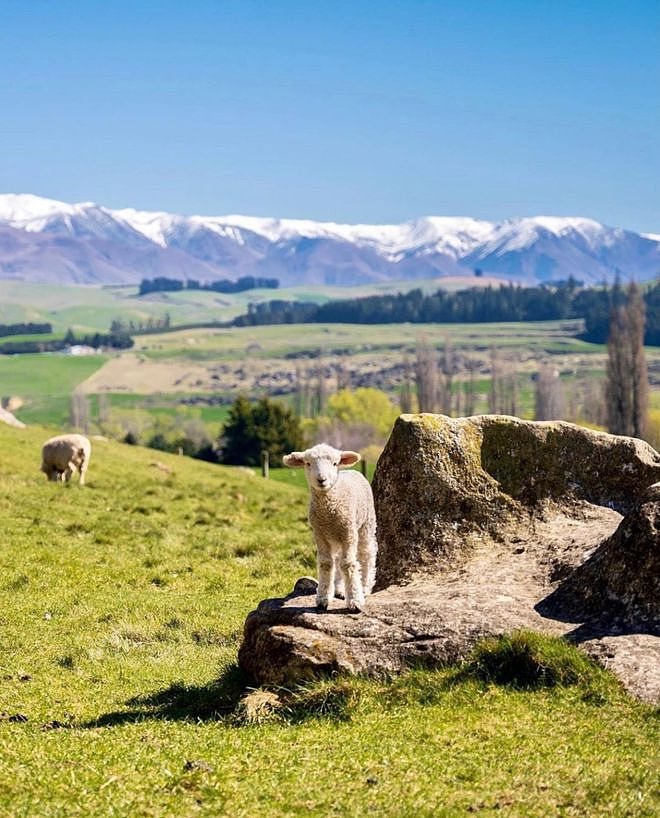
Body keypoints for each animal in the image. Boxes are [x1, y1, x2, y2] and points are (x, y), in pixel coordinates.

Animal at [282, 444, 376, 608]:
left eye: (334, 463)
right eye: (308, 463)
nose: (321, 480)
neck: (329, 513)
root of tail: (352, 470)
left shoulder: (349, 533)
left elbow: (348, 564)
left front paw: (355, 600)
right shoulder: (319, 534)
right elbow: (326, 564)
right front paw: (323, 598)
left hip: (366, 524)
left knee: (366, 554)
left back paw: (365, 587)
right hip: (336, 536)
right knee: (337, 560)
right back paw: (339, 590)